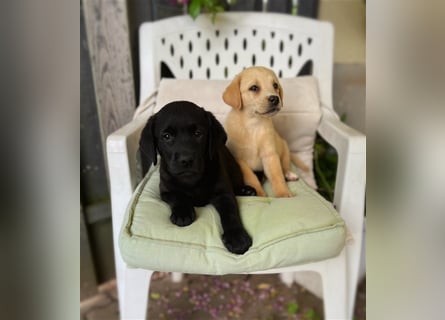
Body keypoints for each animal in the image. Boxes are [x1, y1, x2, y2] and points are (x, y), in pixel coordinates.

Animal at [140, 100, 255, 255]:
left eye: (198, 133)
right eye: (166, 136)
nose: (186, 160)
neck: (192, 180)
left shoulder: (224, 193)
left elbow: (230, 212)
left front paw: (236, 237)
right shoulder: (165, 190)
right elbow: (178, 197)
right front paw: (183, 213)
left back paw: (246, 190)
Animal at [222, 66, 308, 198]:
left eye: (275, 85)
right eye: (254, 88)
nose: (275, 99)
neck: (253, 125)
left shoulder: (270, 155)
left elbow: (277, 175)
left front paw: (283, 193)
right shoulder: (239, 159)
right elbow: (250, 176)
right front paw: (259, 193)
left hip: (284, 148)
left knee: (284, 166)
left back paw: (289, 174)